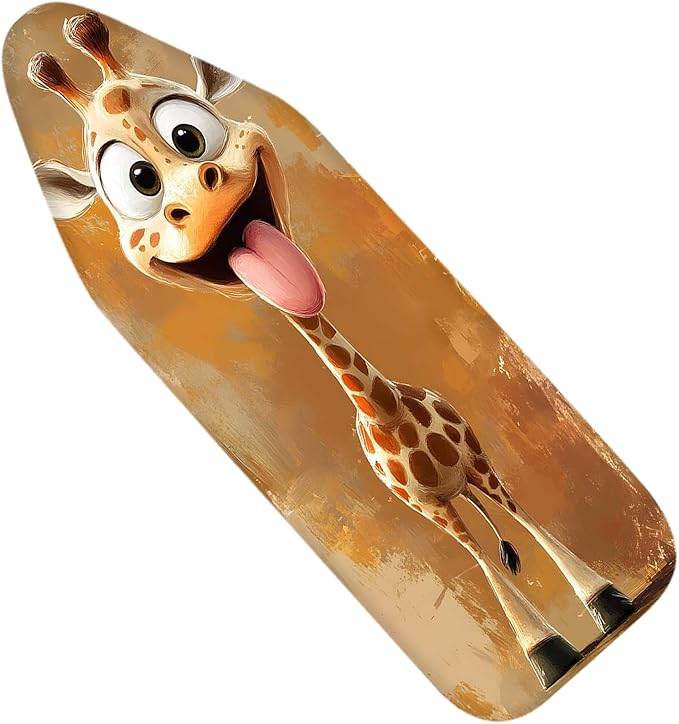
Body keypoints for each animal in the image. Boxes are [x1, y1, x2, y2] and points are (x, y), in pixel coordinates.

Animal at [28, 11, 636, 690]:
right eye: (139, 182)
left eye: (189, 134)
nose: (201, 198)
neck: (391, 416)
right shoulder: (427, 507)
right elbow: (480, 556)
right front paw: (547, 654)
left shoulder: (474, 463)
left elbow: (515, 517)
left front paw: (607, 603)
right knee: (484, 539)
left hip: (474, 461)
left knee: (505, 508)